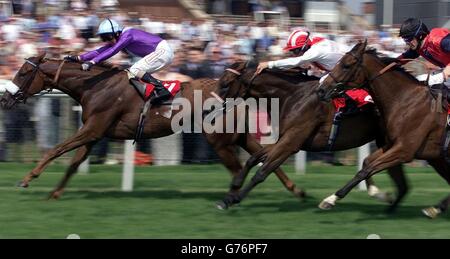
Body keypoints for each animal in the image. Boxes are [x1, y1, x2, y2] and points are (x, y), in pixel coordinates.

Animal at [216, 62, 410, 212]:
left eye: (225, 83)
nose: (216, 107)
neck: (292, 96)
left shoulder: (291, 142)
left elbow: (262, 172)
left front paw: (232, 199)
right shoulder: (286, 139)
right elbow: (253, 158)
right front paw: (232, 189)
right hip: (390, 142)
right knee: (398, 181)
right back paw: (384, 198)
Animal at [316, 41, 450, 219]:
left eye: (346, 65)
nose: (321, 90)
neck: (405, 100)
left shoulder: (404, 151)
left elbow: (366, 170)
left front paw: (330, 199)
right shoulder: (391, 145)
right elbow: (366, 163)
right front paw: (379, 194)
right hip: (438, 157)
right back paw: (436, 208)